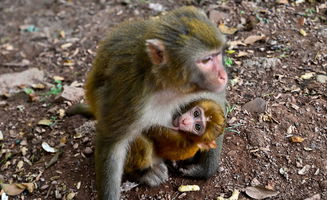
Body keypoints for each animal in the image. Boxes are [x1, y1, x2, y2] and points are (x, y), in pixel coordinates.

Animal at [84, 6, 228, 200]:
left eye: (218, 54)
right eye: (206, 60)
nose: (222, 75)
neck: (165, 82)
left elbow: (216, 100)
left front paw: (205, 169)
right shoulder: (130, 94)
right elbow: (112, 143)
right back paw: (144, 173)